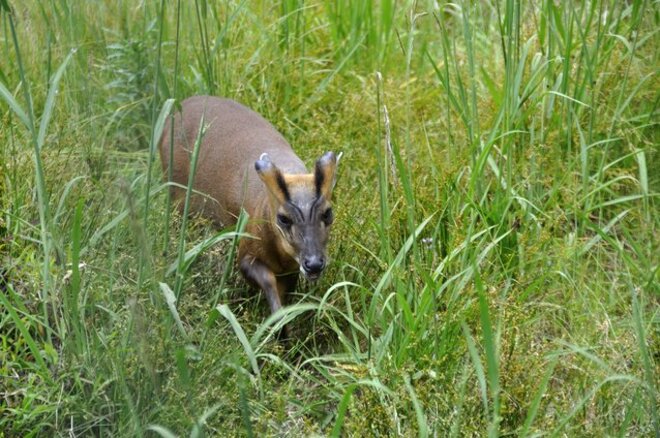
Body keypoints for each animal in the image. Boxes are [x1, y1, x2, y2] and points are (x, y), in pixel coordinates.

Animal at [158, 96, 338, 336]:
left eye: (328, 213)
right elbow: (267, 282)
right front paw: (276, 331)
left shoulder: (291, 269)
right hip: (176, 196)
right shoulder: (246, 252)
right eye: (283, 218)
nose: (314, 264)